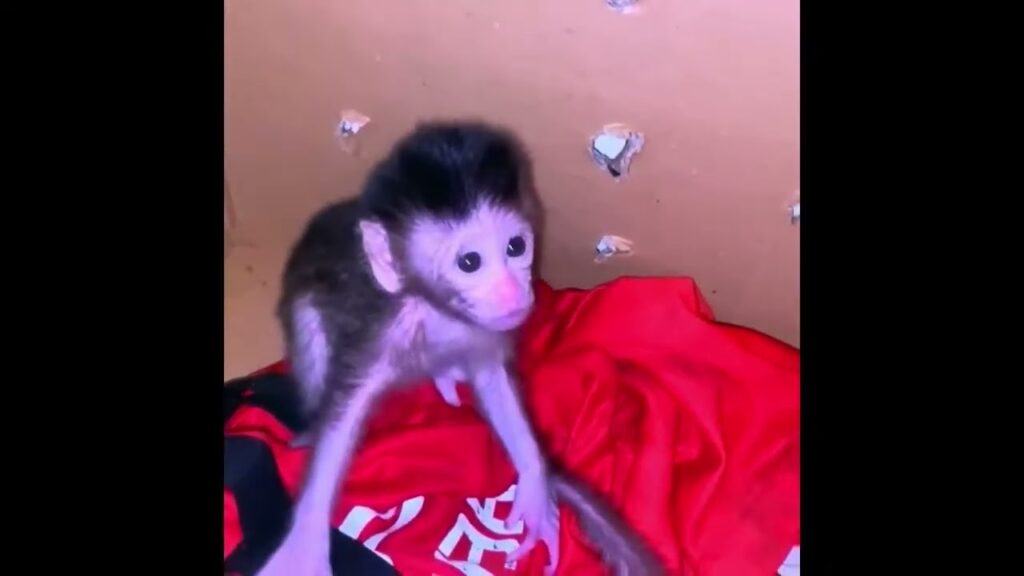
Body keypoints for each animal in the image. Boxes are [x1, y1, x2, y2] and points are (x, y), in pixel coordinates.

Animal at [255, 121, 665, 576]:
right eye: (470, 262)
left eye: (515, 247)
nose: (512, 293)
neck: (437, 310)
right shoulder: (376, 331)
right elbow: (341, 418)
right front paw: (303, 546)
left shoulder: (486, 331)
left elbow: (493, 379)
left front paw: (536, 491)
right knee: (309, 326)